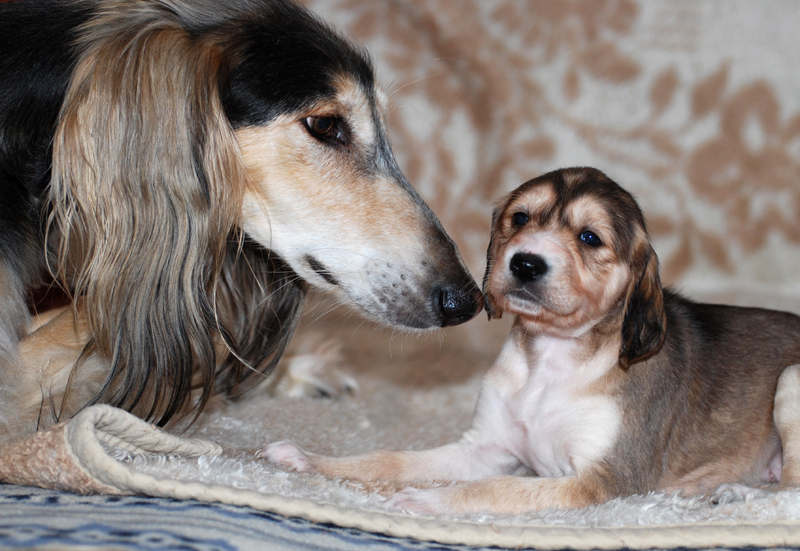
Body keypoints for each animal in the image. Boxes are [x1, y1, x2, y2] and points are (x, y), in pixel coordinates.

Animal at [262, 167, 800, 515]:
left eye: (589, 238)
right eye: (520, 218)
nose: (525, 262)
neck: (551, 363)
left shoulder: (596, 481)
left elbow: (496, 490)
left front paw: (430, 499)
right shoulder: (485, 447)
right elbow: (389, 459)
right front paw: (308, 460)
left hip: (791, 381)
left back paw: (739, 493)